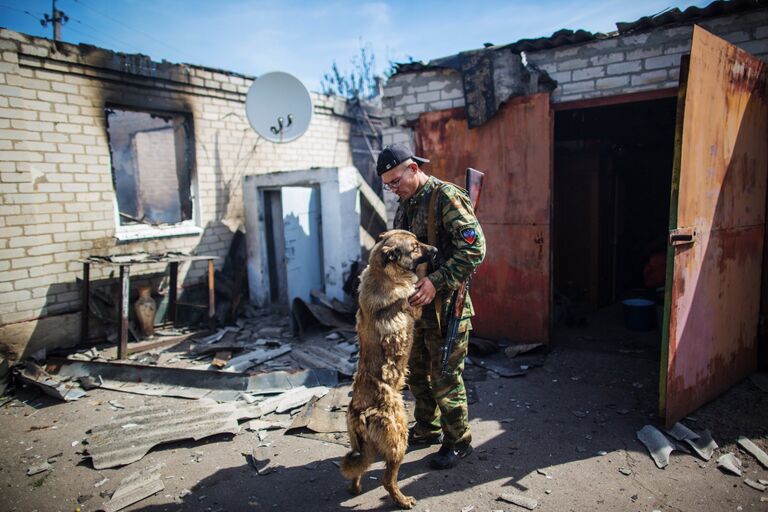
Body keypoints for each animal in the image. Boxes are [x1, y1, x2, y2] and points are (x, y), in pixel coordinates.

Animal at [340, 231, 436, 508]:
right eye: (414, 247)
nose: (436, 250)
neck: (382, 273)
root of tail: (362, 413)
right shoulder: (415, 305)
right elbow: (419, 280)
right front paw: (423, 272)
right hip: (398, 440)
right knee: (387, 480)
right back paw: (402, 500)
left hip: (364, 447)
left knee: (358, 469)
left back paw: (355, 489)